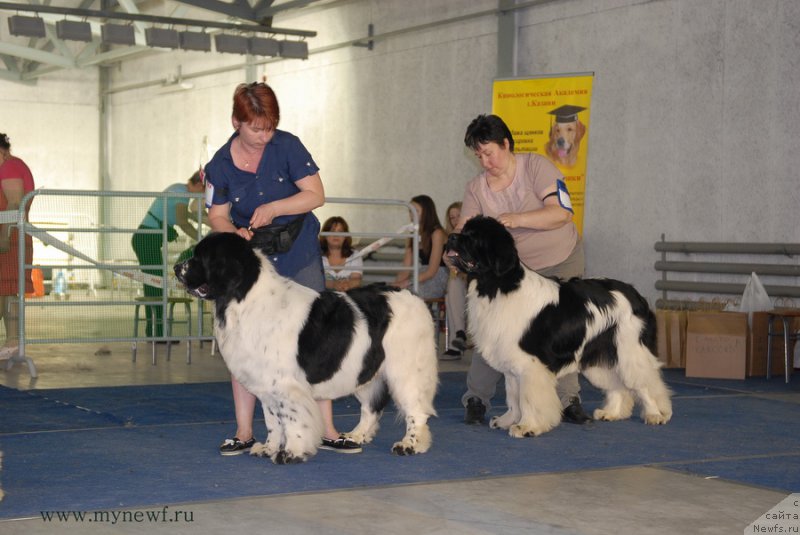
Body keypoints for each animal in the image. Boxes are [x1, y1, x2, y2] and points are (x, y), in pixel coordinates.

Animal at [174, 234, 438, 464]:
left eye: (200, 257)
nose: (177, 267)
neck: (244, 298)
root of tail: (412, 295)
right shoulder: (267, 383)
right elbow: (273, 421)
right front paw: (269, 448)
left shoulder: (287, 385)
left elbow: (292, 420)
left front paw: (290, 453)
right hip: (366, 369)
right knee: (371, 407)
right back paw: (356, 435)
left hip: (404, 370)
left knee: (416, 409)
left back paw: (410, 444)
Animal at [446, 218, 672, 440]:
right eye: (463, 230)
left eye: (474, 237)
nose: (451, 236)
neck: (499, 286)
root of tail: (636, 295)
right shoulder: (512, 364)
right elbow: (513, 398)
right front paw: (507, 421)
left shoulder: (531, 365)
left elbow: (527, 399)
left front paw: (527, 427)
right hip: (601, 357)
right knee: (618, 385)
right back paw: (612, 412)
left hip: (630, 351)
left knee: (646, 384)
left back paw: (656, 414)